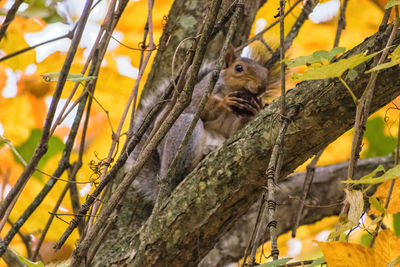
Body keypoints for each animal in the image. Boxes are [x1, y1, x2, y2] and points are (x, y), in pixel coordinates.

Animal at [126, 43, 276, 205]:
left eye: (265, 72)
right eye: (238, 68)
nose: (262, 87)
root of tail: (162, 181)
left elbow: (235, 130)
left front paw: (256, 109)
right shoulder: (199, 93)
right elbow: (201, 106)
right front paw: (225, 102)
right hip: (184, 131)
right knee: (182, 170)